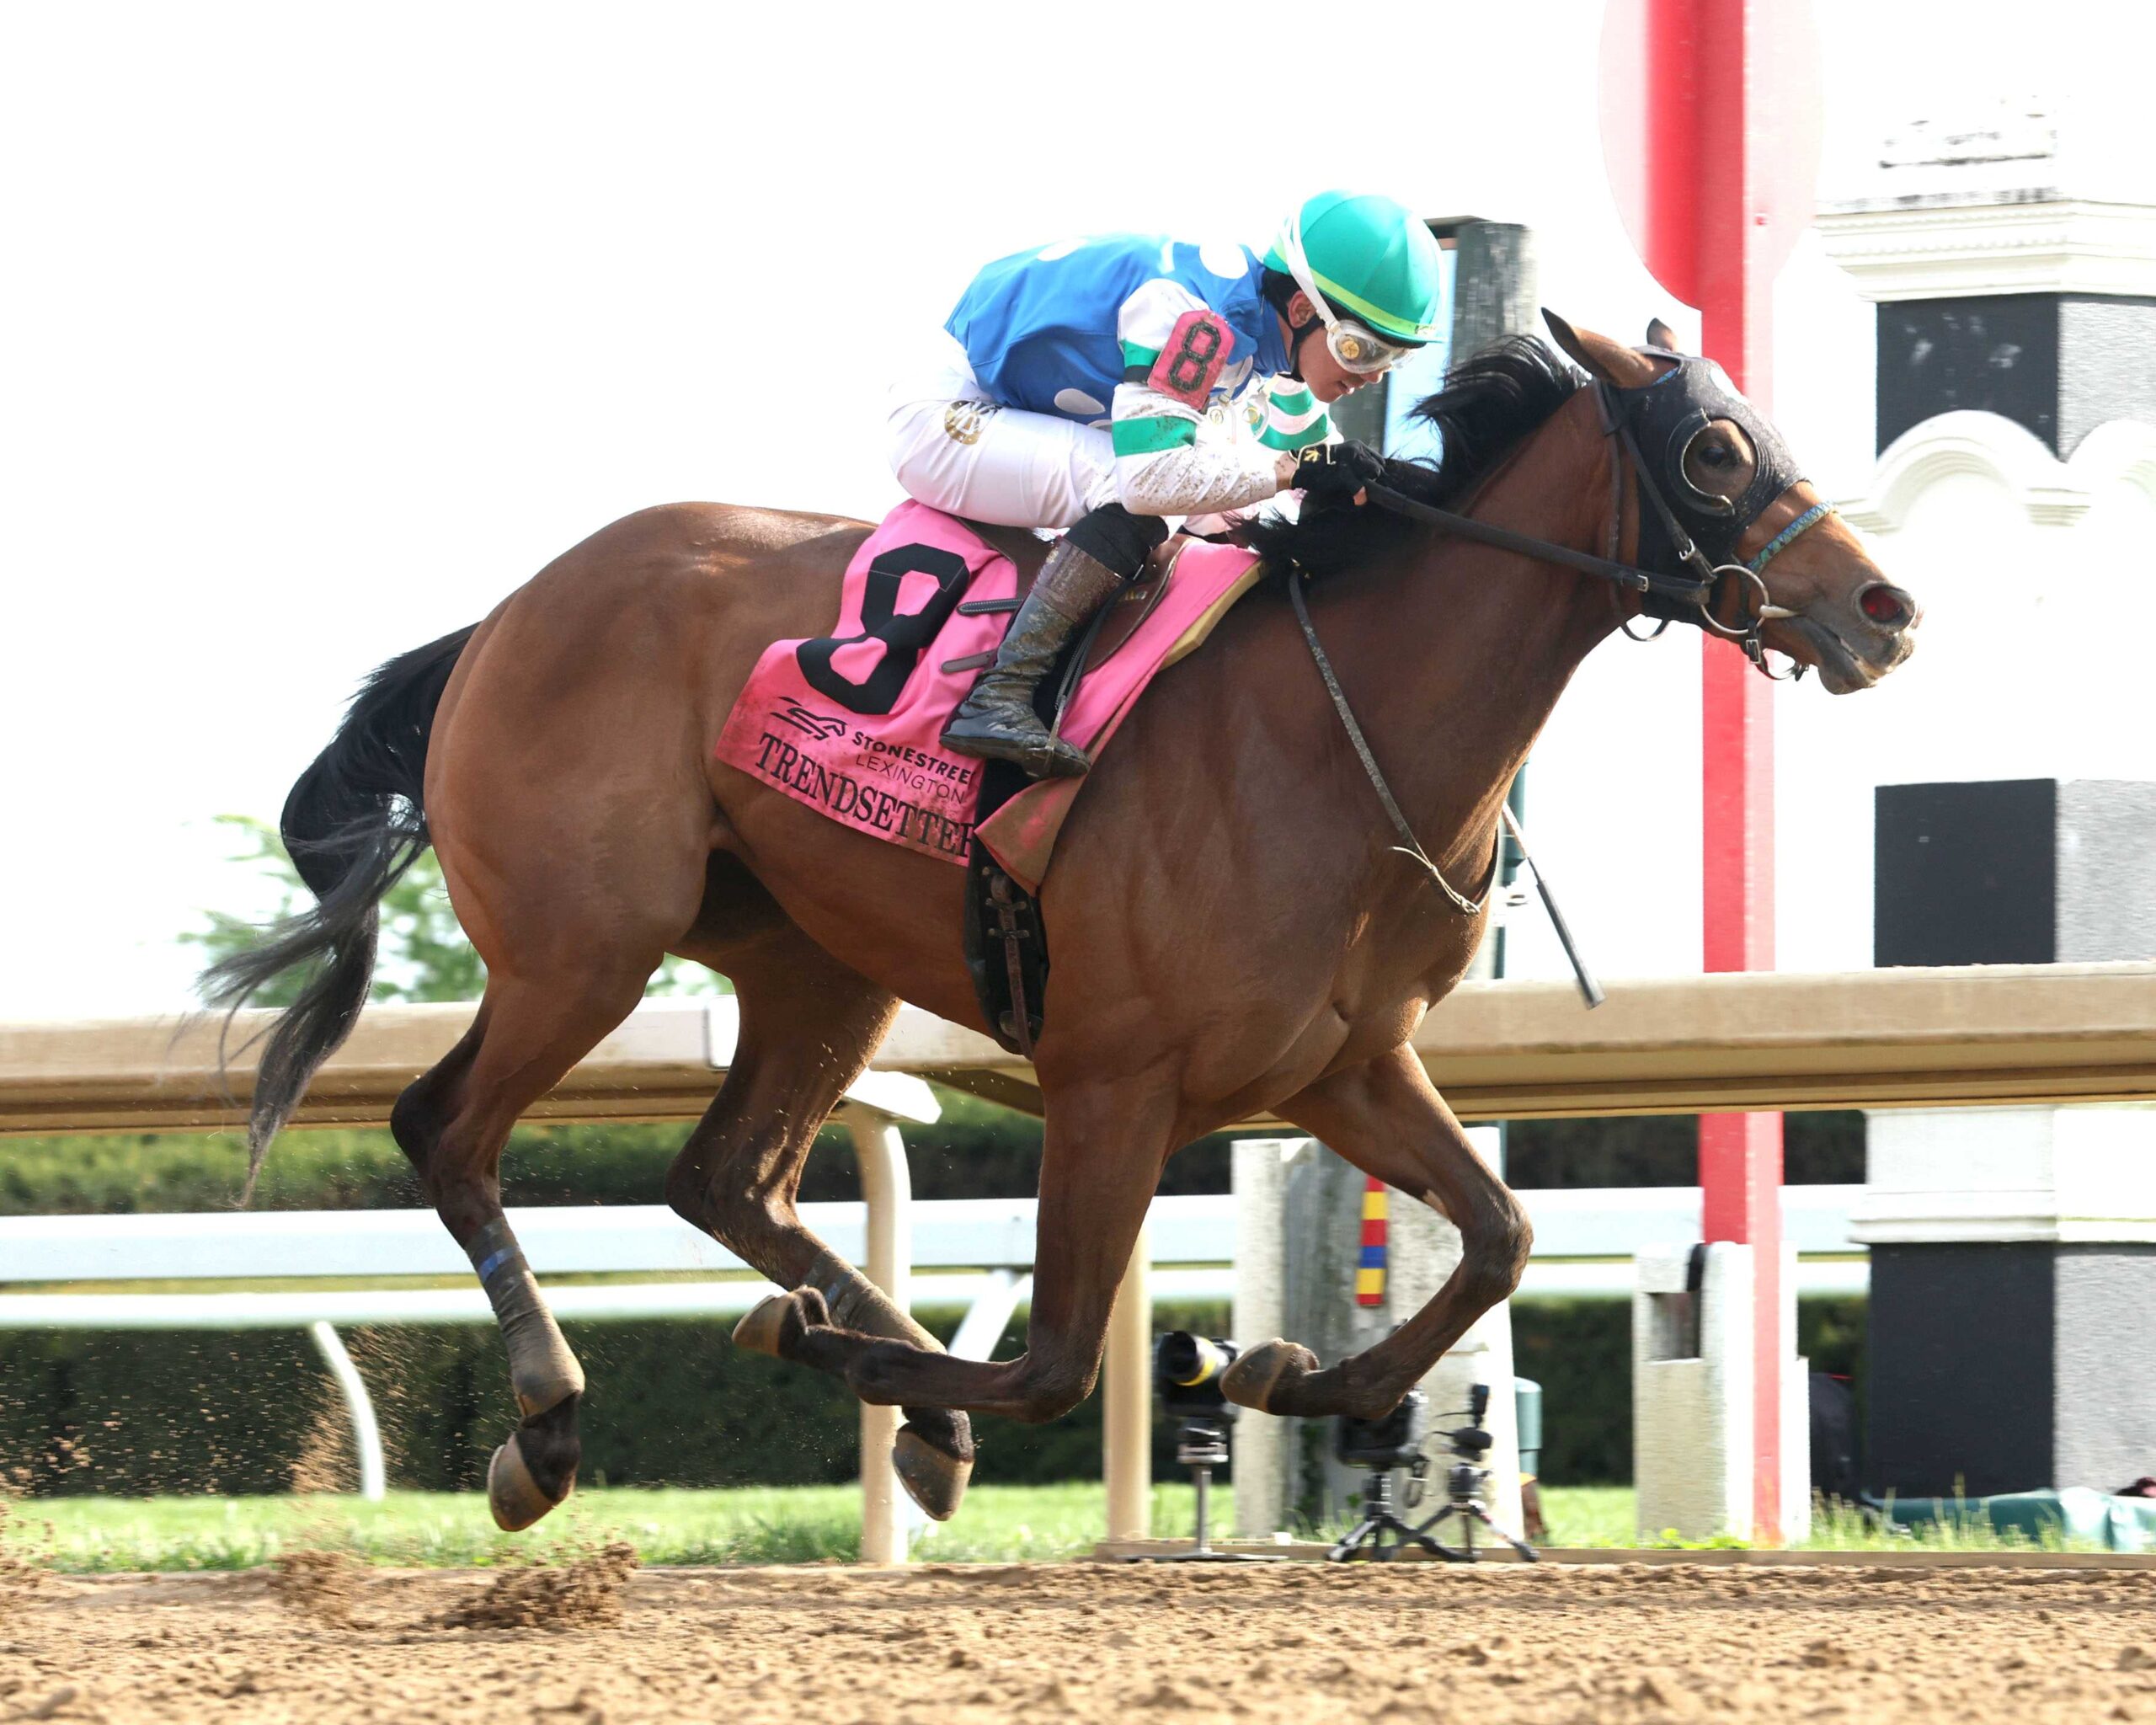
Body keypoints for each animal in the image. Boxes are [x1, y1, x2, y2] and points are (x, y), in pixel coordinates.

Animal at [205, 315, 1918, 1534]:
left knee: (723, 1175)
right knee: (446, 1125)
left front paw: (1302, 1371)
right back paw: (552, 1421)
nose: (1885, 610)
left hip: (811, 966)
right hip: (585, 946)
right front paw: (843, 1358)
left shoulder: (1341, 1065)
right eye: (1714, 448)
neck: (1336, 731)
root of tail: (502, 616)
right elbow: (1057, 1358)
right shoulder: (1113, 1077)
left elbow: (1496, 1235)